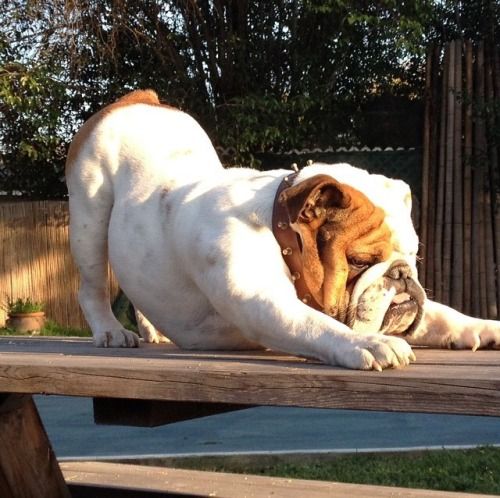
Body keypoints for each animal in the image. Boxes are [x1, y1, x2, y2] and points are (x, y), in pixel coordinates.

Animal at [66, 89, 500, 370]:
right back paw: (111, 333)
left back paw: (152, 330)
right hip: (90, 216)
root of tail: (137, 100)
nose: (403, 276)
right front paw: (368, 342)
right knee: (92, 286)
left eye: (413, 257)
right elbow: (317, 324)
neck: (279, 234)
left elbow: (443, 315)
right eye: (360, 261)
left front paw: (485, 327)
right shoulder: (262, 303)